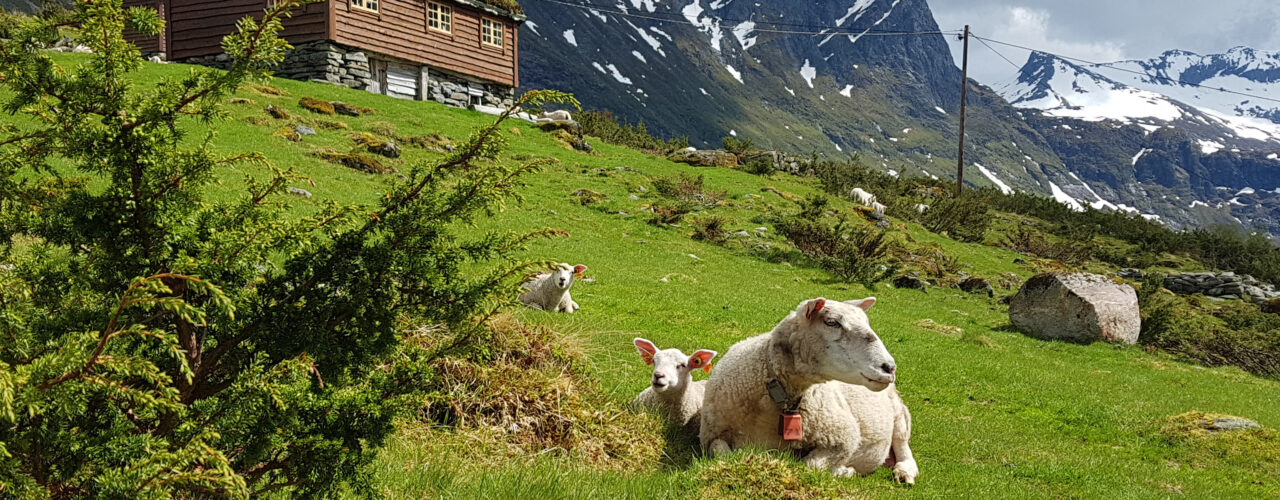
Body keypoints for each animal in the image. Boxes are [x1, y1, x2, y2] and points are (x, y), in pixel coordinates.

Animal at [701, 297, 921, 485]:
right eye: (832, 322)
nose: (889, 367)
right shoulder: (712, 434)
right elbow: (722, 454)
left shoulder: (843, 437)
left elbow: (810, 465)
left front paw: (843, 471)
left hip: (899, 415)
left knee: (903, 446)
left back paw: (904, 471)